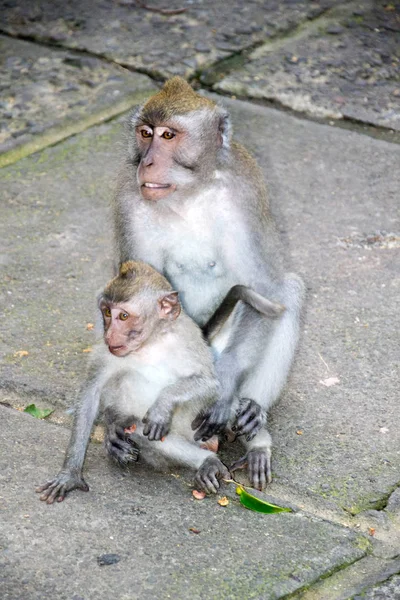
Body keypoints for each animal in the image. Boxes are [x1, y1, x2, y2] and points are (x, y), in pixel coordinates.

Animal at [111, 76, 304, 488]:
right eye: (145, 133)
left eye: (169, 135)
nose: (148, 161)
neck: (188, 193)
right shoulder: (128, 198)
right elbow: (136, 288)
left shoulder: (243, 192)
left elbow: (265, 288)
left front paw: (227, 384)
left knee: (289, 291)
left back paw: (253, 422)